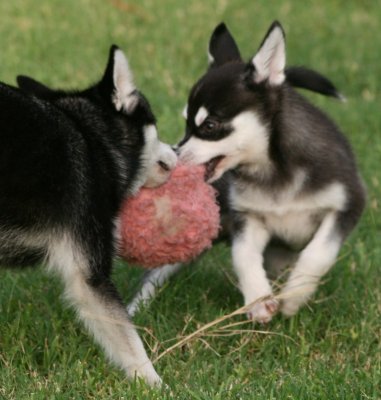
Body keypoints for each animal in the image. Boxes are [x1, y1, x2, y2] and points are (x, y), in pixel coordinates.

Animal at [0, 45, 177, 386]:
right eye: (156, 125)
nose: (176, 152)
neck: (94, 138)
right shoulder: (89, 273)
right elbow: (130, 341)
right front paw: (155, 384)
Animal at [131, 21, 366, 324]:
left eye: (209, 125)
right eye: (186, 123)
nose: (174, 155)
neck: (273, 169)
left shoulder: (347, 205)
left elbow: (318, 253)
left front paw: (295, 295)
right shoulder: (247, 217)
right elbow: (243, 256)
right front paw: (258, 299)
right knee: (153, 276)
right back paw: (132, 312)